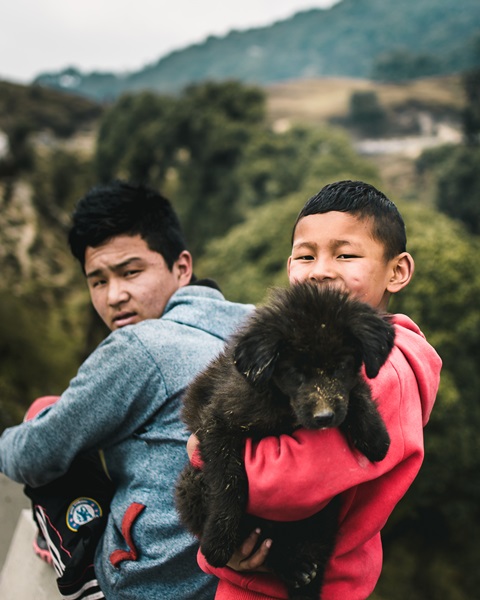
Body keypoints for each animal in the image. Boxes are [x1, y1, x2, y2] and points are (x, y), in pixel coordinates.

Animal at [176, 282, 394, 600]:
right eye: (295, 372)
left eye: (340, 367)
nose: (324, 418)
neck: (282, 402)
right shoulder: (217, 423)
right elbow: (230, 480)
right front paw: (218, 541)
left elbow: (356, 389)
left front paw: (375, 435)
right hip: (191, 483)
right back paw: (293, 568)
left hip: (323, 518)